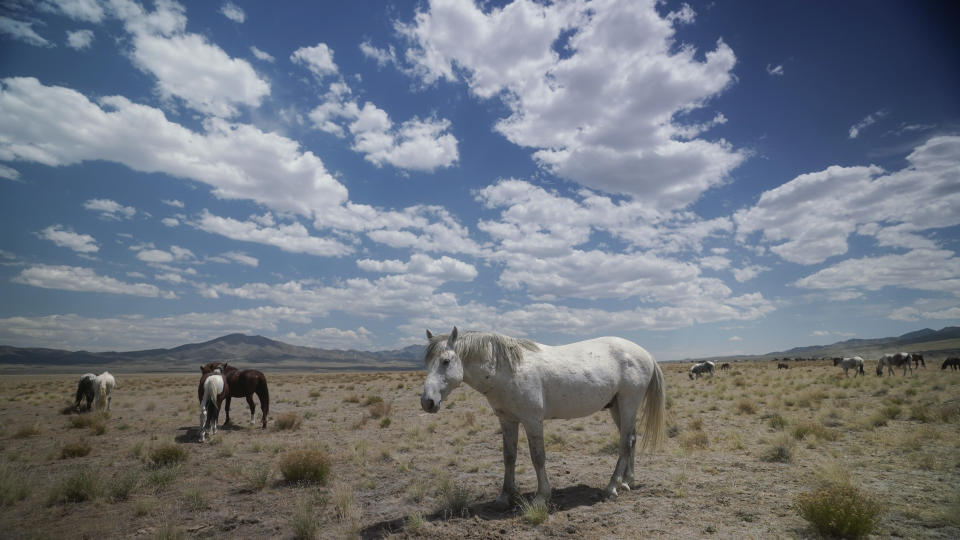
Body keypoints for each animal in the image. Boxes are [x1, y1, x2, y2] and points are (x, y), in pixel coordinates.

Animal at [420, 326, 668, 508]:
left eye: (445, 361)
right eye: (427, 362)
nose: (427, 402)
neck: (508, 370)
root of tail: (645, 353)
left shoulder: (532, 421)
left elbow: (537, 457)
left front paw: (541, 496)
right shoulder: (507, 420)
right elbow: (509, 457)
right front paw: (504, 496)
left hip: (628, 404)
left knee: (625, 442)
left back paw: (612, 487)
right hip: (617, 407)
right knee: (632, 439)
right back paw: (628, 481)